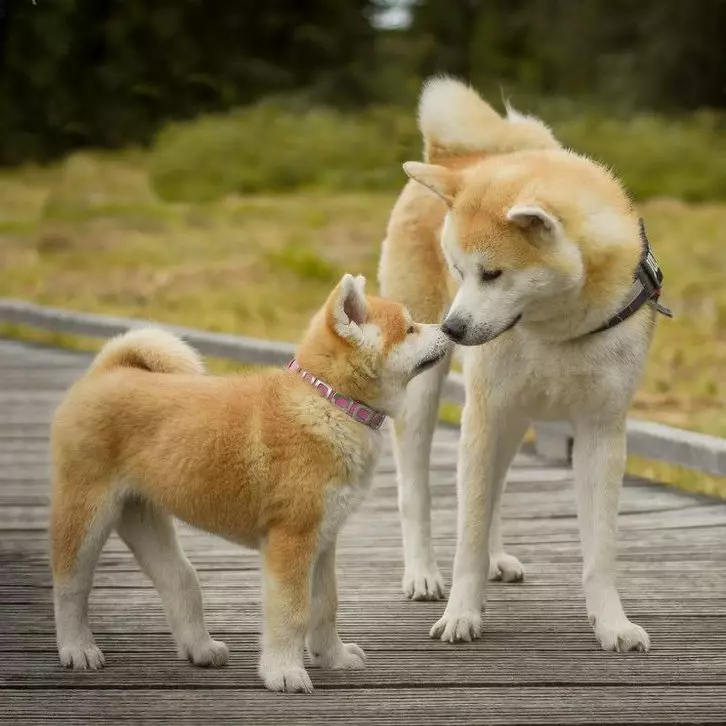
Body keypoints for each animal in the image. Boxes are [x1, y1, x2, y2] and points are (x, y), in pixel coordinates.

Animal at [51, 276, 452, 696]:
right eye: (409, 328)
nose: (447, 328)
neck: (329, 402)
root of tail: (104, 372)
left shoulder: (323, 540)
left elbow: (326, 606)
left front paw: (334, 658)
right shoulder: (291, 541)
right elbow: (293, 614)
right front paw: (284, 672)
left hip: (143, 517)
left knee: (179, 580)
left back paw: (200, 648)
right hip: (86, 514)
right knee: (70, 585)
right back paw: (77, 649)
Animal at [382, 78, 672, 656]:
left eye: (492, 274)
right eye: (458, 270)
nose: (451, 328)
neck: (555, 328)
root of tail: (457, 154)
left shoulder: (601, 431)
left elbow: (600, 552)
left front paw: (612, 624)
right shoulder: (484, 414)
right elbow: (466, 538)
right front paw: (462, 615)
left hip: (513, 420)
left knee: (491, 492)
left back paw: (496, 558)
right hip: (434, 401)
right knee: (416, 493)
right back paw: (422, 573)